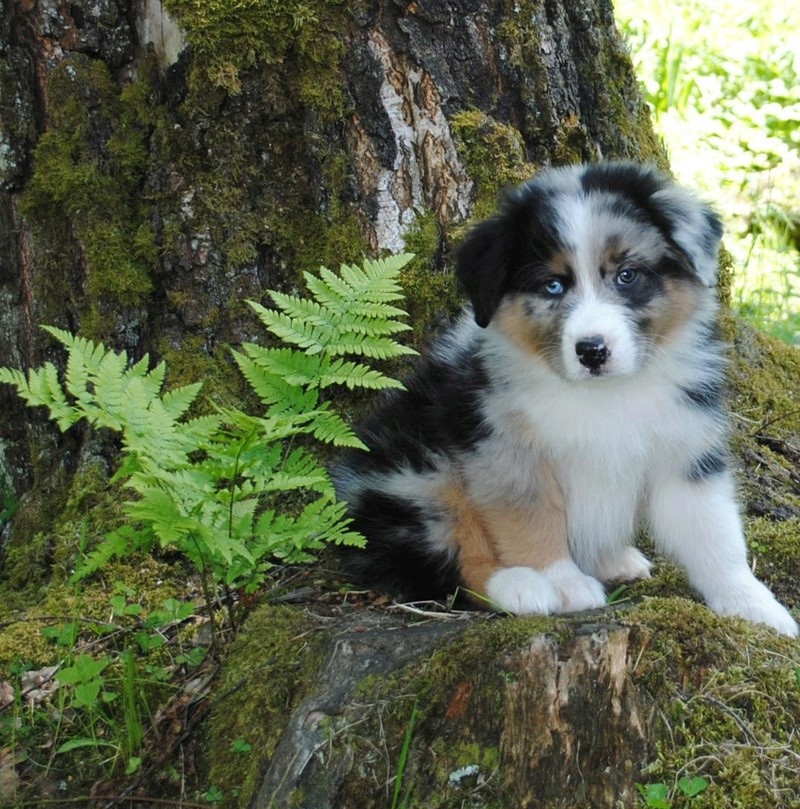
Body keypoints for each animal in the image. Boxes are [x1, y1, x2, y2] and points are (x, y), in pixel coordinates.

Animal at [332, 159, 792, 636]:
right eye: (553, 285)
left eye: (627, 275)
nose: (592, 351)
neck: (604, 397)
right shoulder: (504, 450)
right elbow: (532, 519)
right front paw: (564, 582)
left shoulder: (685, 448)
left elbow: (715, 534)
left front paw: (753, 605)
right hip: (419, 474)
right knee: (455, 551)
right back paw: (520, 586)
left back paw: (613, 559)